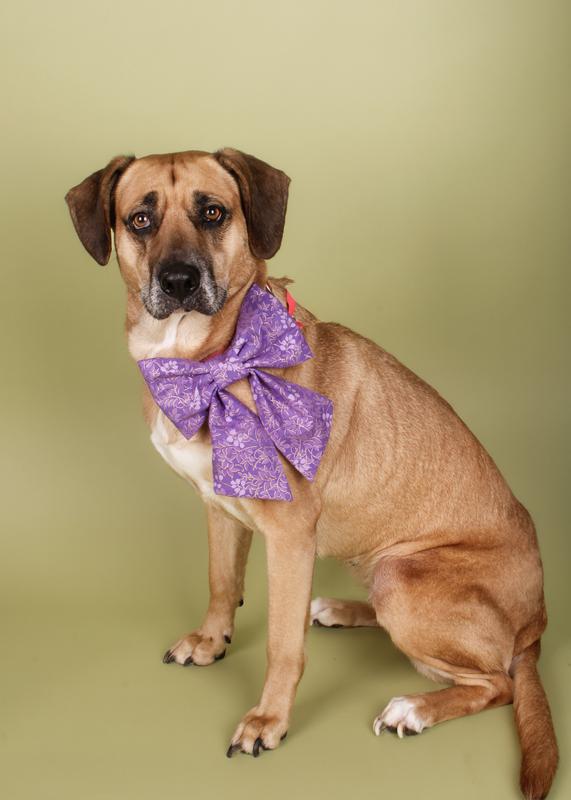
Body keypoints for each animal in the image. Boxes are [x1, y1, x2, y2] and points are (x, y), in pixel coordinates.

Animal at [65, 148, 558, 799]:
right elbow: (221, 581)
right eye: (139, 219)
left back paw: (415, 708)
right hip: (378, 564)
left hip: (405, 576)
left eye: (213, 212)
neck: (208, 364)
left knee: (495, 683)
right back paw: (341, 611)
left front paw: (267, 721)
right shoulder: (218, 507)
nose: (178, 281)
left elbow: (282, 645)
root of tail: (536, 625)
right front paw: (210, 640)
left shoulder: (289, 537)